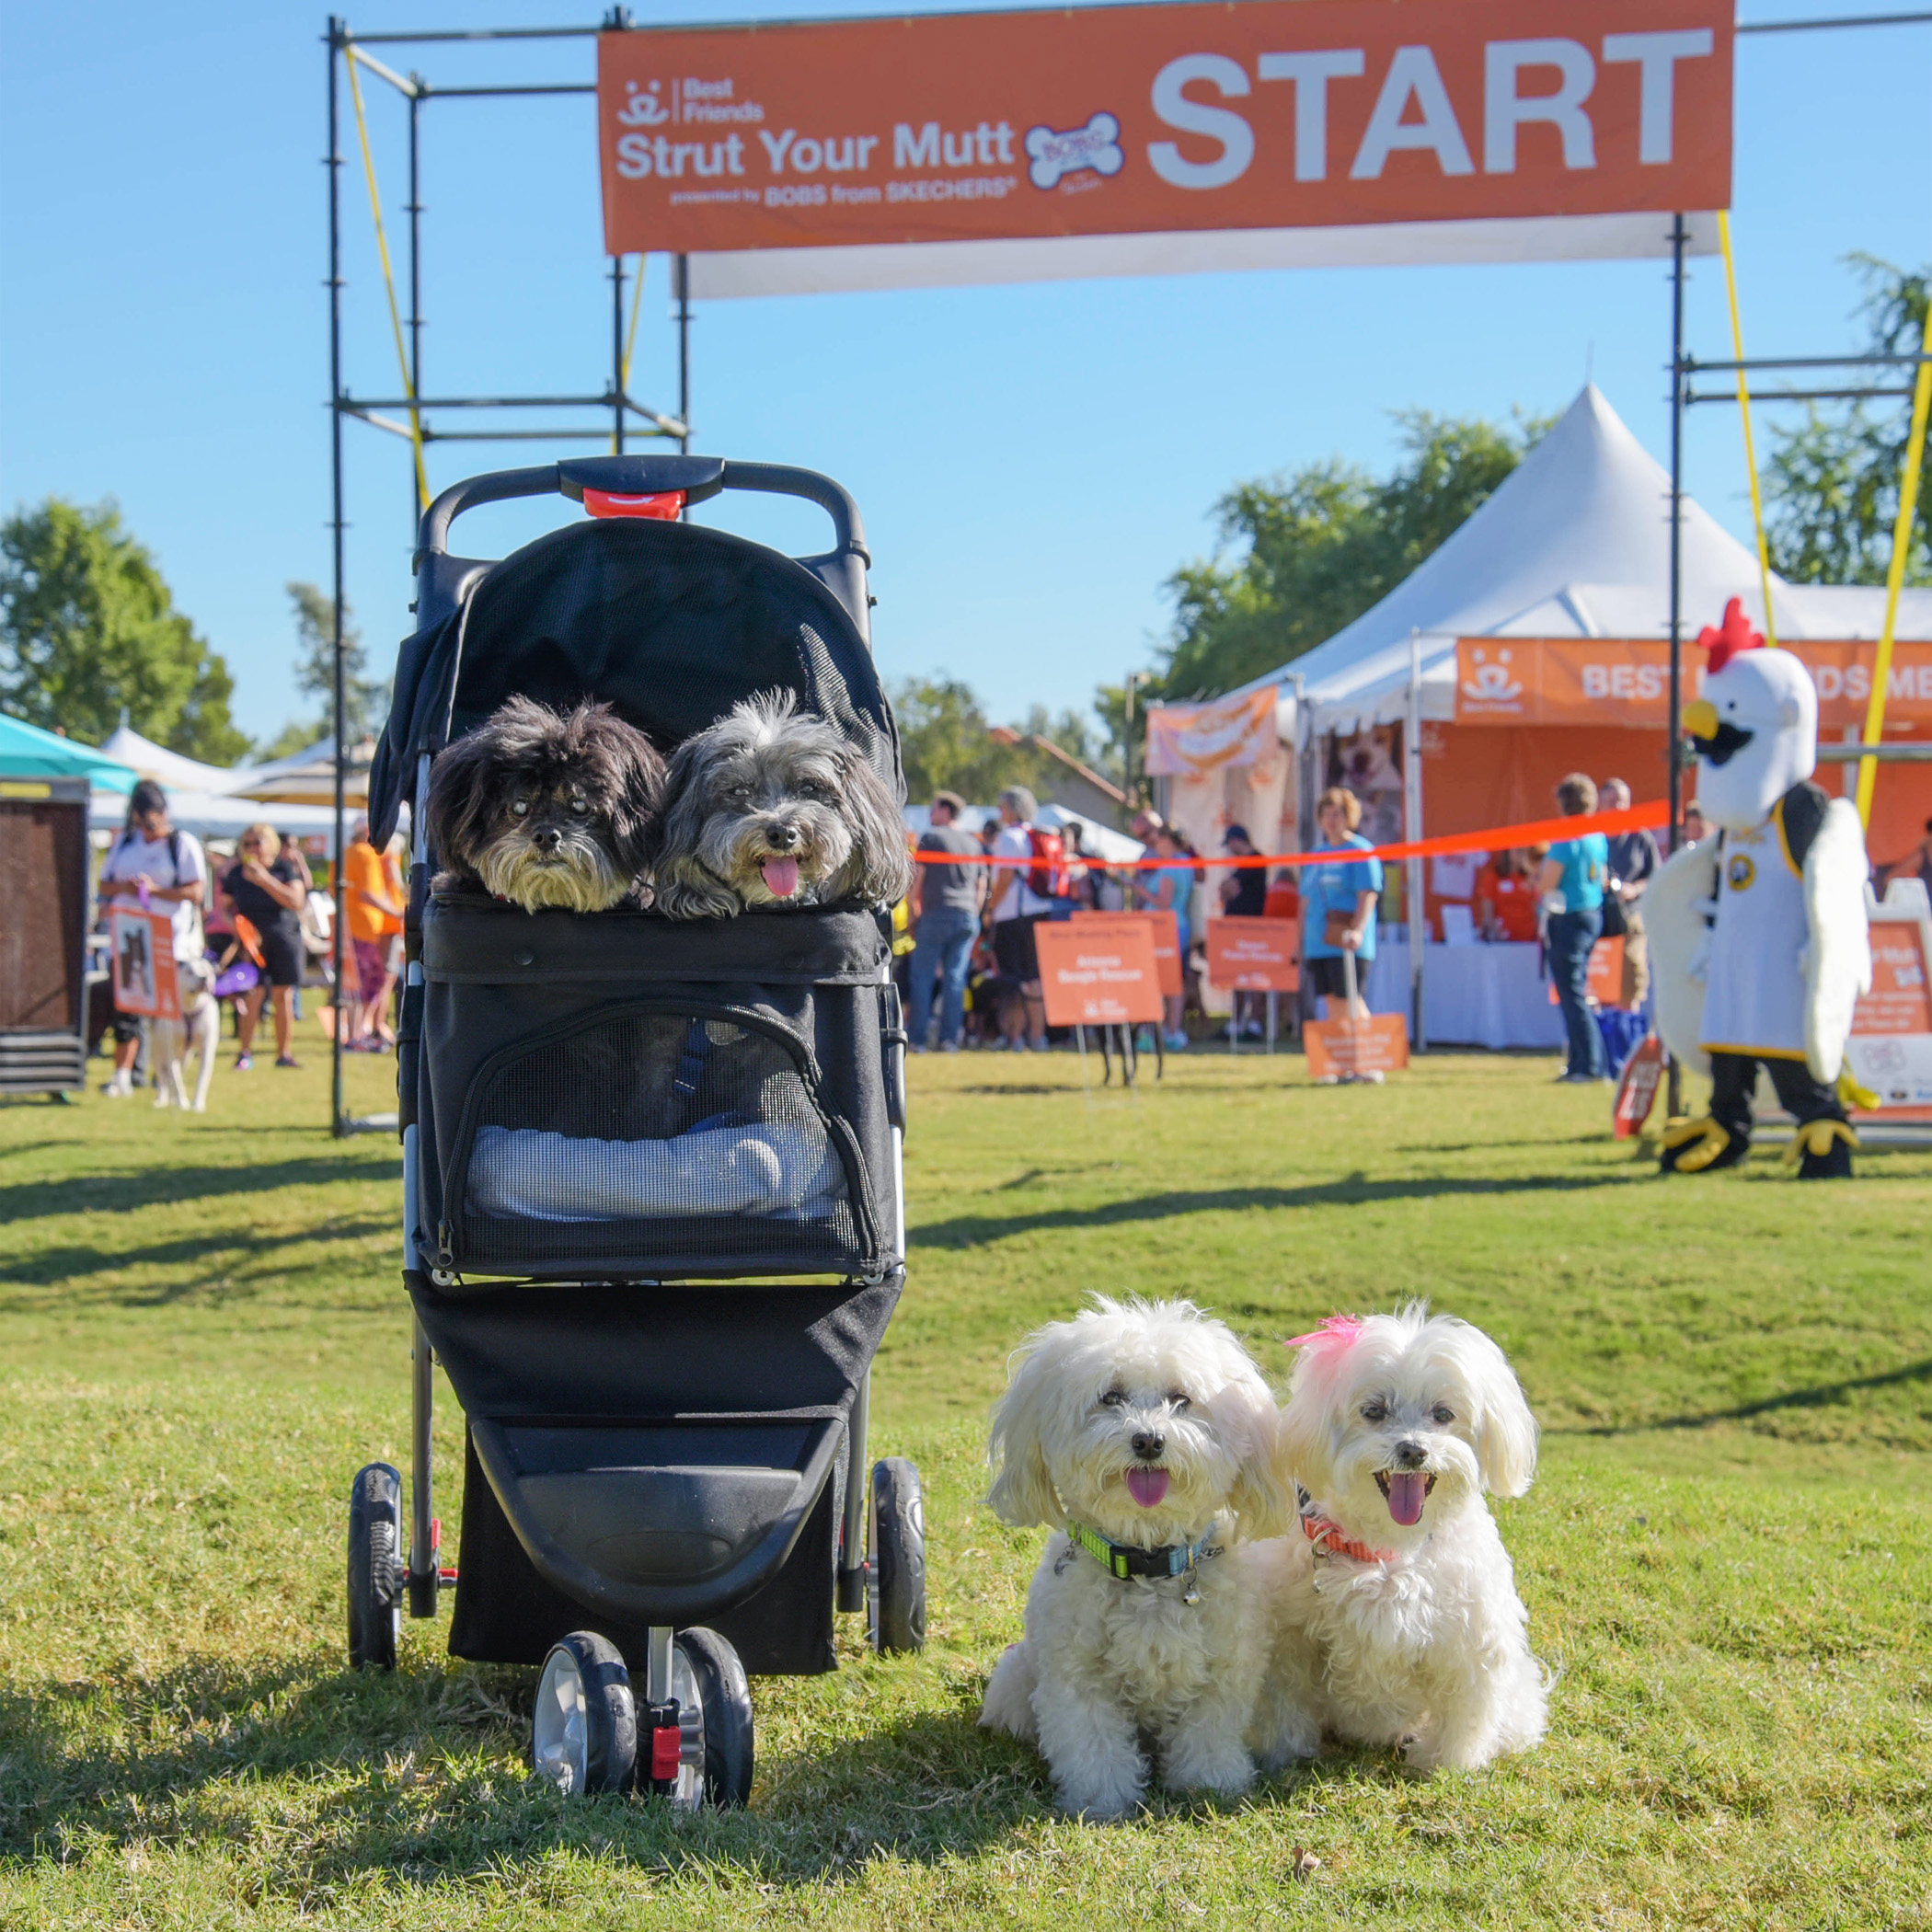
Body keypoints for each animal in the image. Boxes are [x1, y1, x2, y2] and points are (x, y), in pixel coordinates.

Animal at [150, 954, 217, 1112]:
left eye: (207, 970)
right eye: (189, 971)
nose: (204, 978)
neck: (191, 1008)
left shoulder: (207, 1050)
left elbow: (202, 1078)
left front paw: (197, 1105)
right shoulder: (171, 1052)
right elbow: (176, 1080)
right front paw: (182, 1103)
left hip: (186, 1057)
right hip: (157, 1052)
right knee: (163, 1077)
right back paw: (162, 1100)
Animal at [981, 1305, 1298, 1815]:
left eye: (1181, 1399)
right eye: (1110, 1397)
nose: (1148, 1440)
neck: (1148, 1562)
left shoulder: (1223, 1672)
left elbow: (1208, 1733)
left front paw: (1209, 1785)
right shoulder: (1077, 1678)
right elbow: (1092, 1744)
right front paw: (1100, 1801)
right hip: (1016, 1676)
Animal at [1251, 1305, 1553, 1769]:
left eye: (1443, 1414)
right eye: (1374, 1411)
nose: (1413, 1450)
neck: (1390, 1550)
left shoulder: (1470, 1638)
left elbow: (1464, 1707)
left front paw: (1446, 1761)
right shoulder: (1292, 1636)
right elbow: (1287, 1698)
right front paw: (1285, 1751)